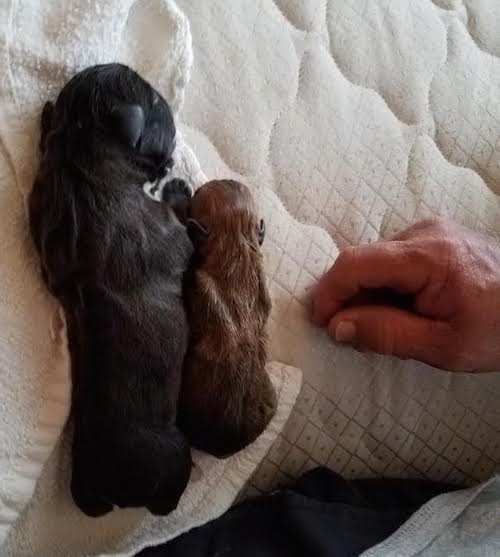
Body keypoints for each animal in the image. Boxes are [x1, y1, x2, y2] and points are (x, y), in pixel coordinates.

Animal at [28, 63, 193, 516]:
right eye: (154, 102)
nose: (175, 141)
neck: (78, 154)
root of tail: (100, 482)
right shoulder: (172, 234)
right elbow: (184, 225)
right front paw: (177, 188)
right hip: (174, 454)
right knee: (165, 500)